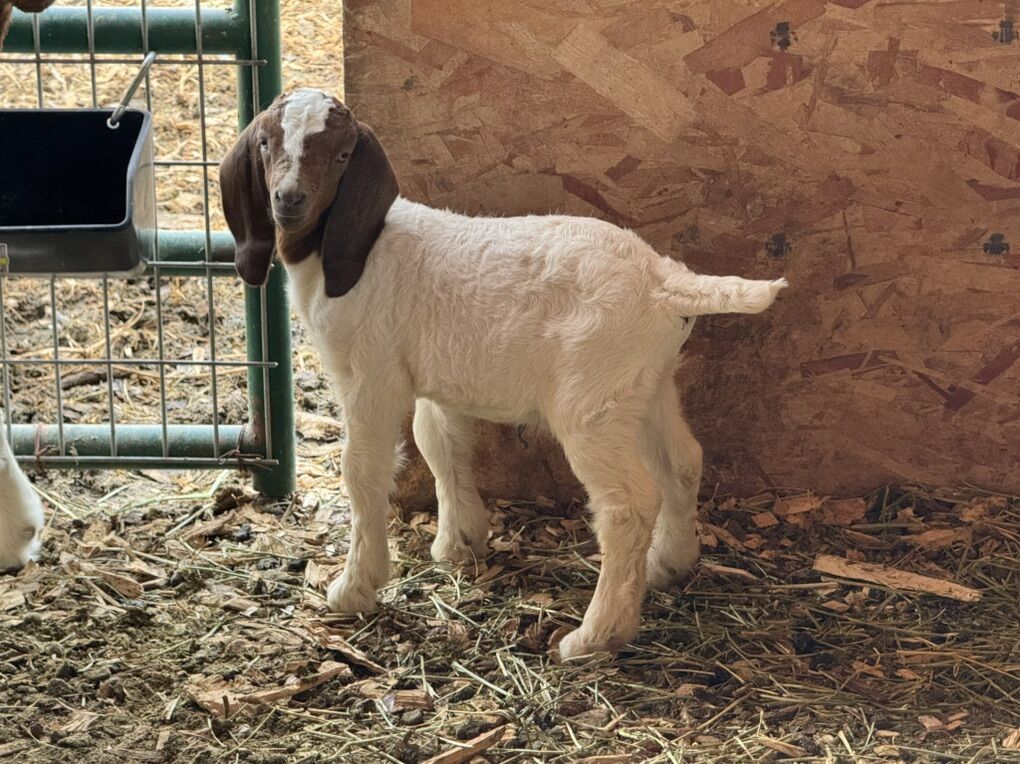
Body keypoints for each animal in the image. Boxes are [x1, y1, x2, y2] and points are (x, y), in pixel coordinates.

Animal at [220, 88, 787, 659]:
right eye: (265, 143)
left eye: (341, 155)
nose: (288, 200)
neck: (358, 250)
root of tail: (664, 281)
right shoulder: (433, 380)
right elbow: (440, 447)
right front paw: (458, 543)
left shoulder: (370, 375)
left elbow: (364, 472)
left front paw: (354, 588)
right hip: (644, 387)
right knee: (683, 462)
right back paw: (669, 564)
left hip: (592, 404)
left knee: (627, 504)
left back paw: (596, 635)